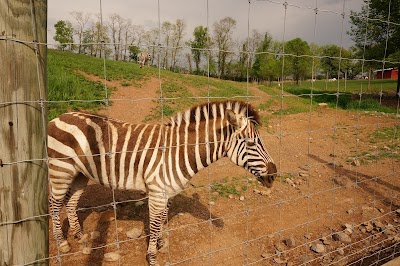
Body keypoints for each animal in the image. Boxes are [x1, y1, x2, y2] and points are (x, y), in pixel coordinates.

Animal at [47, 100, 278, 266]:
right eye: (251, 143)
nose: (274, 175)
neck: (179, 151)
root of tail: (58, 116)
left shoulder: (166, 192)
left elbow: (162, 219)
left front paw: (158, 243)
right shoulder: (157, 192)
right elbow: (156, 222)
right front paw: (152, 257)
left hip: (79, 173)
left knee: (71, 201)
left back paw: (78, 235)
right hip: (60, 170)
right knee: (54, 204)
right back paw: (62, 242)